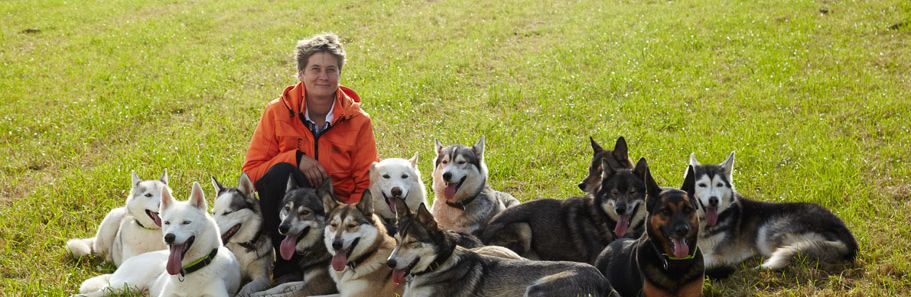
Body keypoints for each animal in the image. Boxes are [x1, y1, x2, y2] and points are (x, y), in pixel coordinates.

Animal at [384, 198, 620, 294]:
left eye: (412, 242)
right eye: (396, 240)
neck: (439, 264)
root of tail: (606, 283)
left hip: (537, 289)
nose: (390, 263)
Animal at [688, 151, 860, 276]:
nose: (713, 200)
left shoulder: (722, 256)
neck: (706, 223)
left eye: (719, 185)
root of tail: (850, 240)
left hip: (768, 232)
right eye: (702, 185)